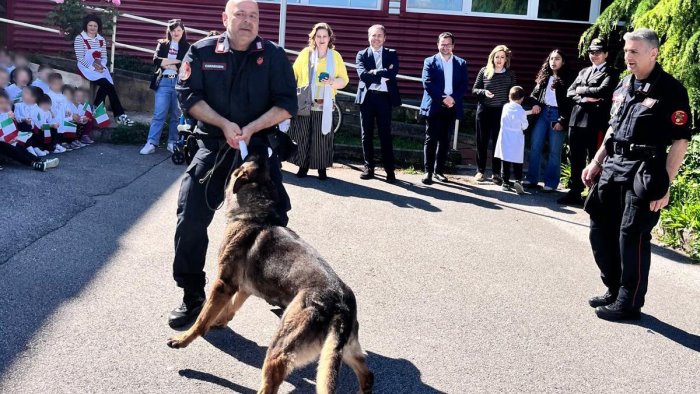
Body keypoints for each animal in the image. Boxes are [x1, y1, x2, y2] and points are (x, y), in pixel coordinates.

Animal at [167, 153, 374, 394]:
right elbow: (231, 307)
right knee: (368, 375)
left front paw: (184, 338)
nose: (259, 152)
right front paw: (220, 321)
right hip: (346, 351)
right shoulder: (243, 288)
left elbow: (202, 319)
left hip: (279, 350)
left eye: (244, 162)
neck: (256, 215)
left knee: (269, 385)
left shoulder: (223, 284)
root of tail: (340, 305)